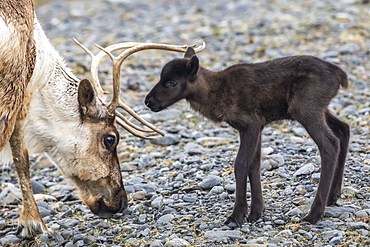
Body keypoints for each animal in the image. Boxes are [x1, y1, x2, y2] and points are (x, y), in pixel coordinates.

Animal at [145, 47, 350, 227]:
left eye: (171, 82)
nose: (148, 101)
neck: (215, 94)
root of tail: (340, 75)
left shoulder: (250, 125)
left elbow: (241, 164)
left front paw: (237, 215)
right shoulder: (258, 126)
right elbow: (255, 164)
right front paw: (256, 212)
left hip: (305, 109)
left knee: (329, 144)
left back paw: (314, 213)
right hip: (318, 109)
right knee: (344, 129)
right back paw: (333, 196)